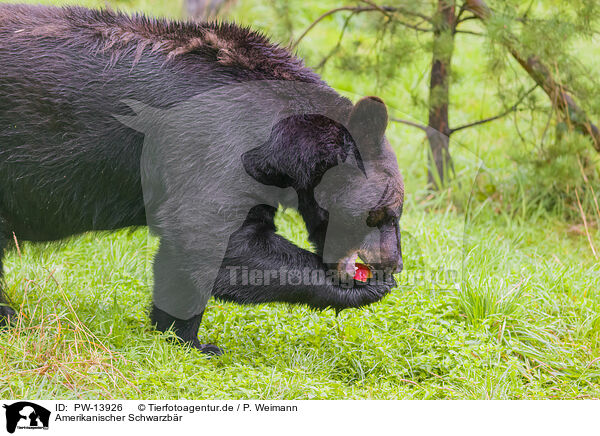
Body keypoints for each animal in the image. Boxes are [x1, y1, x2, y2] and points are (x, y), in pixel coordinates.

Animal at [0, 5, 406, 356]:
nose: (393, 264)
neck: (280, 139)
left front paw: (177, 334)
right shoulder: (215, 144)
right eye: (382, 214)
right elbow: (211, 237)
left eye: (393, 213)